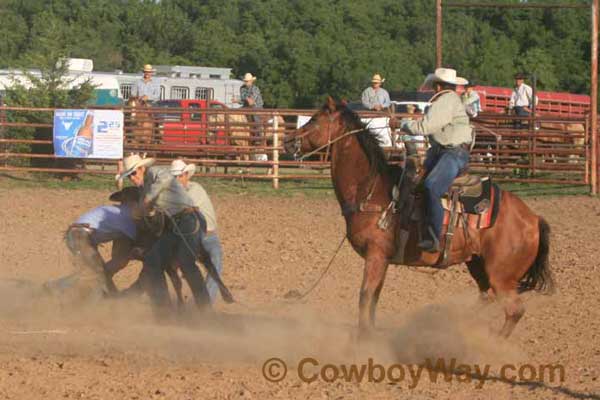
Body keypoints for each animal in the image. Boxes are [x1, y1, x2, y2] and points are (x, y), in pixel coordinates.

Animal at [284, 97, 552, 338]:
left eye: (314, 120)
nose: (287, 141)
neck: (371, 189)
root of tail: (533, 218)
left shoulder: (375, 254)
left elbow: (364, 296)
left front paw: (362, 339)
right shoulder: (382, 258)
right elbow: (374, 298)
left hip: (501, 275)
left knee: (513, 310)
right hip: (478, 265)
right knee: (486, 299)